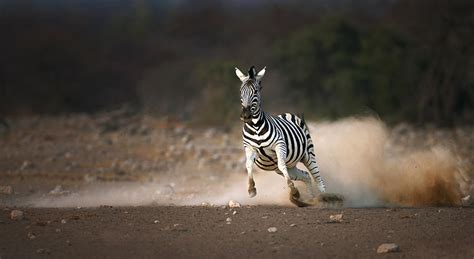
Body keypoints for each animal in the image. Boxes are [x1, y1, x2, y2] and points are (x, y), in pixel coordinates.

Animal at [234, 66, 326, 207]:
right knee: (305, 175)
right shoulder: (249, 148)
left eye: (256, 91)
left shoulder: (279, 145)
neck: (255, 127)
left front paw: (294, 191)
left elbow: (282, 165)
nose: (245, 116)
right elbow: (248, 165)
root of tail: (287, 114)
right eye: (240, 91)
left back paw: (326, 198)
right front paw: (251, 189)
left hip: (308, 154)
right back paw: (311, 200)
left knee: (316, 175)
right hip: (289, 167)